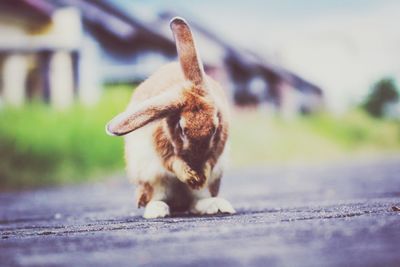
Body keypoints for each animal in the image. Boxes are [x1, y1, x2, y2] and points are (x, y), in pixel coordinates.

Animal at [105, 16, 234, 219]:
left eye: (214, 128)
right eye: (181, 129)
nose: (196, 162)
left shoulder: (217, 150)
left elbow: (211, 160)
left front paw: (200, 176)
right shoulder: (162, 149)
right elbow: (172, 162)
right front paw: (191, 175)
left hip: (208, 186)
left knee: (196, 203)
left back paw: (218, 206)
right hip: (152, 179)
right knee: (157, 198)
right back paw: (158, 211)